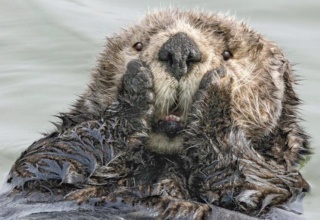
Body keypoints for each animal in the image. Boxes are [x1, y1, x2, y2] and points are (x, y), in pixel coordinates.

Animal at [0, 9, 310, 219]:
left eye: (227, 54)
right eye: (138, 45)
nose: (180, 49)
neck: (164, 161)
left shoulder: (280, 182)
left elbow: (247, 181)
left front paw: (217, 89)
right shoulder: (39, 166)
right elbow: (49, 157)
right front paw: (135, 86)